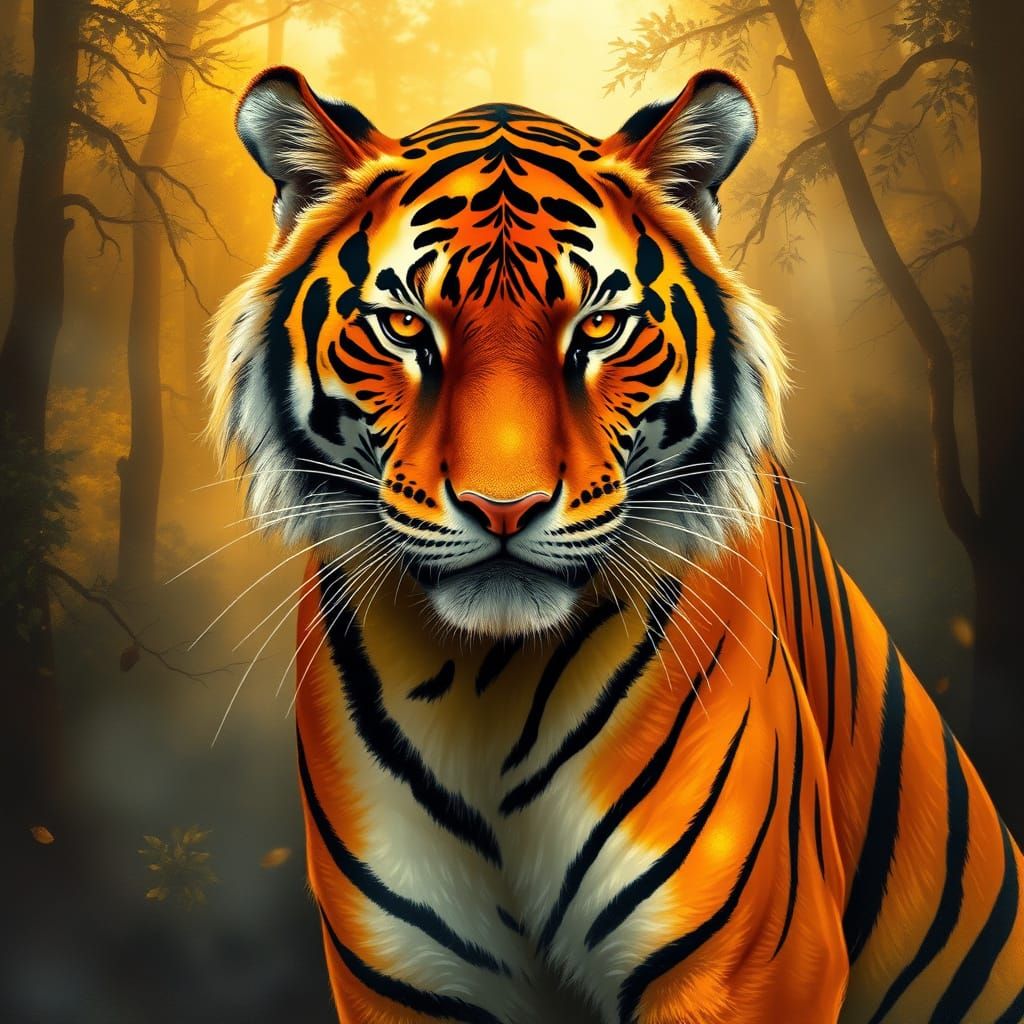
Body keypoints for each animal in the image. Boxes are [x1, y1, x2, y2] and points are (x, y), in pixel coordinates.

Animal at [204, 65, 1024, 1023]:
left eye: (597, 328)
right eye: (405, 327)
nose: (504, 506)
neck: (484, 688)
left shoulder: (748, 969)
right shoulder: (407, 983)